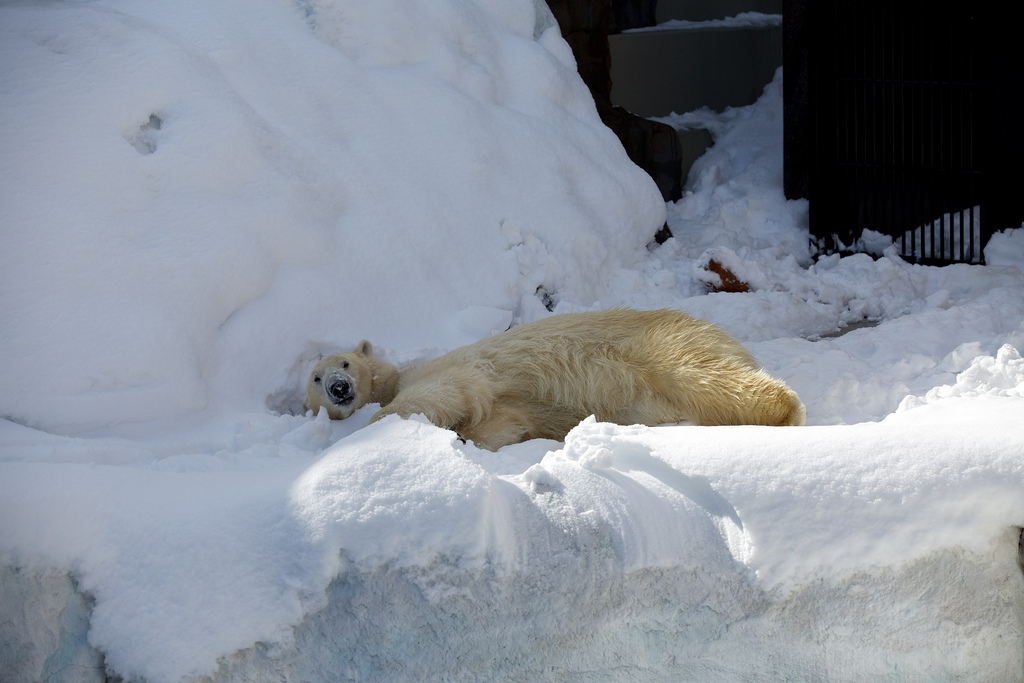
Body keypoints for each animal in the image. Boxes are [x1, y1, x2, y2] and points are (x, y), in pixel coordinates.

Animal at [303, 309, 806, 448]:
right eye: (314, 378)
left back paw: (786, 412)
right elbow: (499, 427)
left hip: (661, 347)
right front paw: (463, 440)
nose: (339, 388)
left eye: (342, 364)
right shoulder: (504, 413)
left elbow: (428, 400)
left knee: (707, 377)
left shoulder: (448, 373)